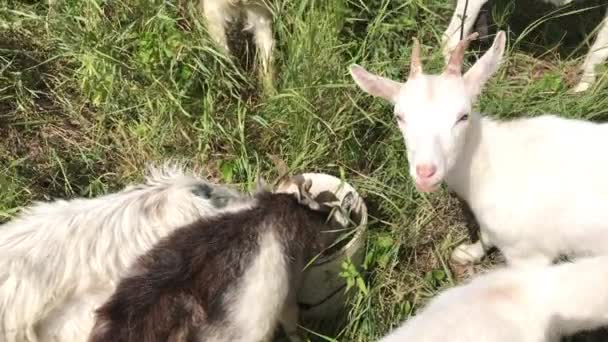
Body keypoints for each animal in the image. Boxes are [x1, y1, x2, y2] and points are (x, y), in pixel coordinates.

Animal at [350, 31, 608, 268]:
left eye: (463, 116)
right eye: (399, 116)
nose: (425, 173)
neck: (492, 161)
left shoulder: (529, 255)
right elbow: (485, 235)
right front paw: (468, 253)